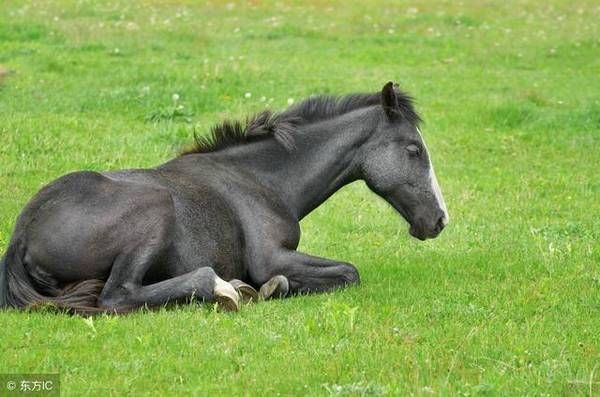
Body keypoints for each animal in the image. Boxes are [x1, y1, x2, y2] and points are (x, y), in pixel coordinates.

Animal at [0, 82, 448, 314]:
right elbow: (348, 273)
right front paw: (269, 288)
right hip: (154, 210)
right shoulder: (271, 257)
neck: (260, 180)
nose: (440, 220)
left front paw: (268, 288)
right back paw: (223, 288)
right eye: (413, 150)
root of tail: (21, 235)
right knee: (117, 297)